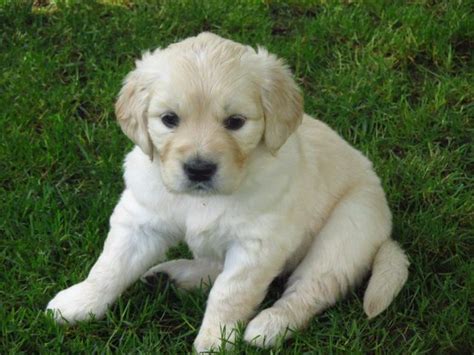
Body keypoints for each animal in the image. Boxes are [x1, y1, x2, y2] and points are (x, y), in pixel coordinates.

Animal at [49, 34, 412, 354]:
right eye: (169, 119)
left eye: (235, 122)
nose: (199, 169)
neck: (202, 199)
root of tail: (385, 235)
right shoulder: (140, 219)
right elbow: (110, 265)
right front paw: (79, 302)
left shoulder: (257, 245)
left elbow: (229, 294)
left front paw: (215, 341)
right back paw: (171, 275)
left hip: (349, 227)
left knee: (311, 288)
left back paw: (270, 325)